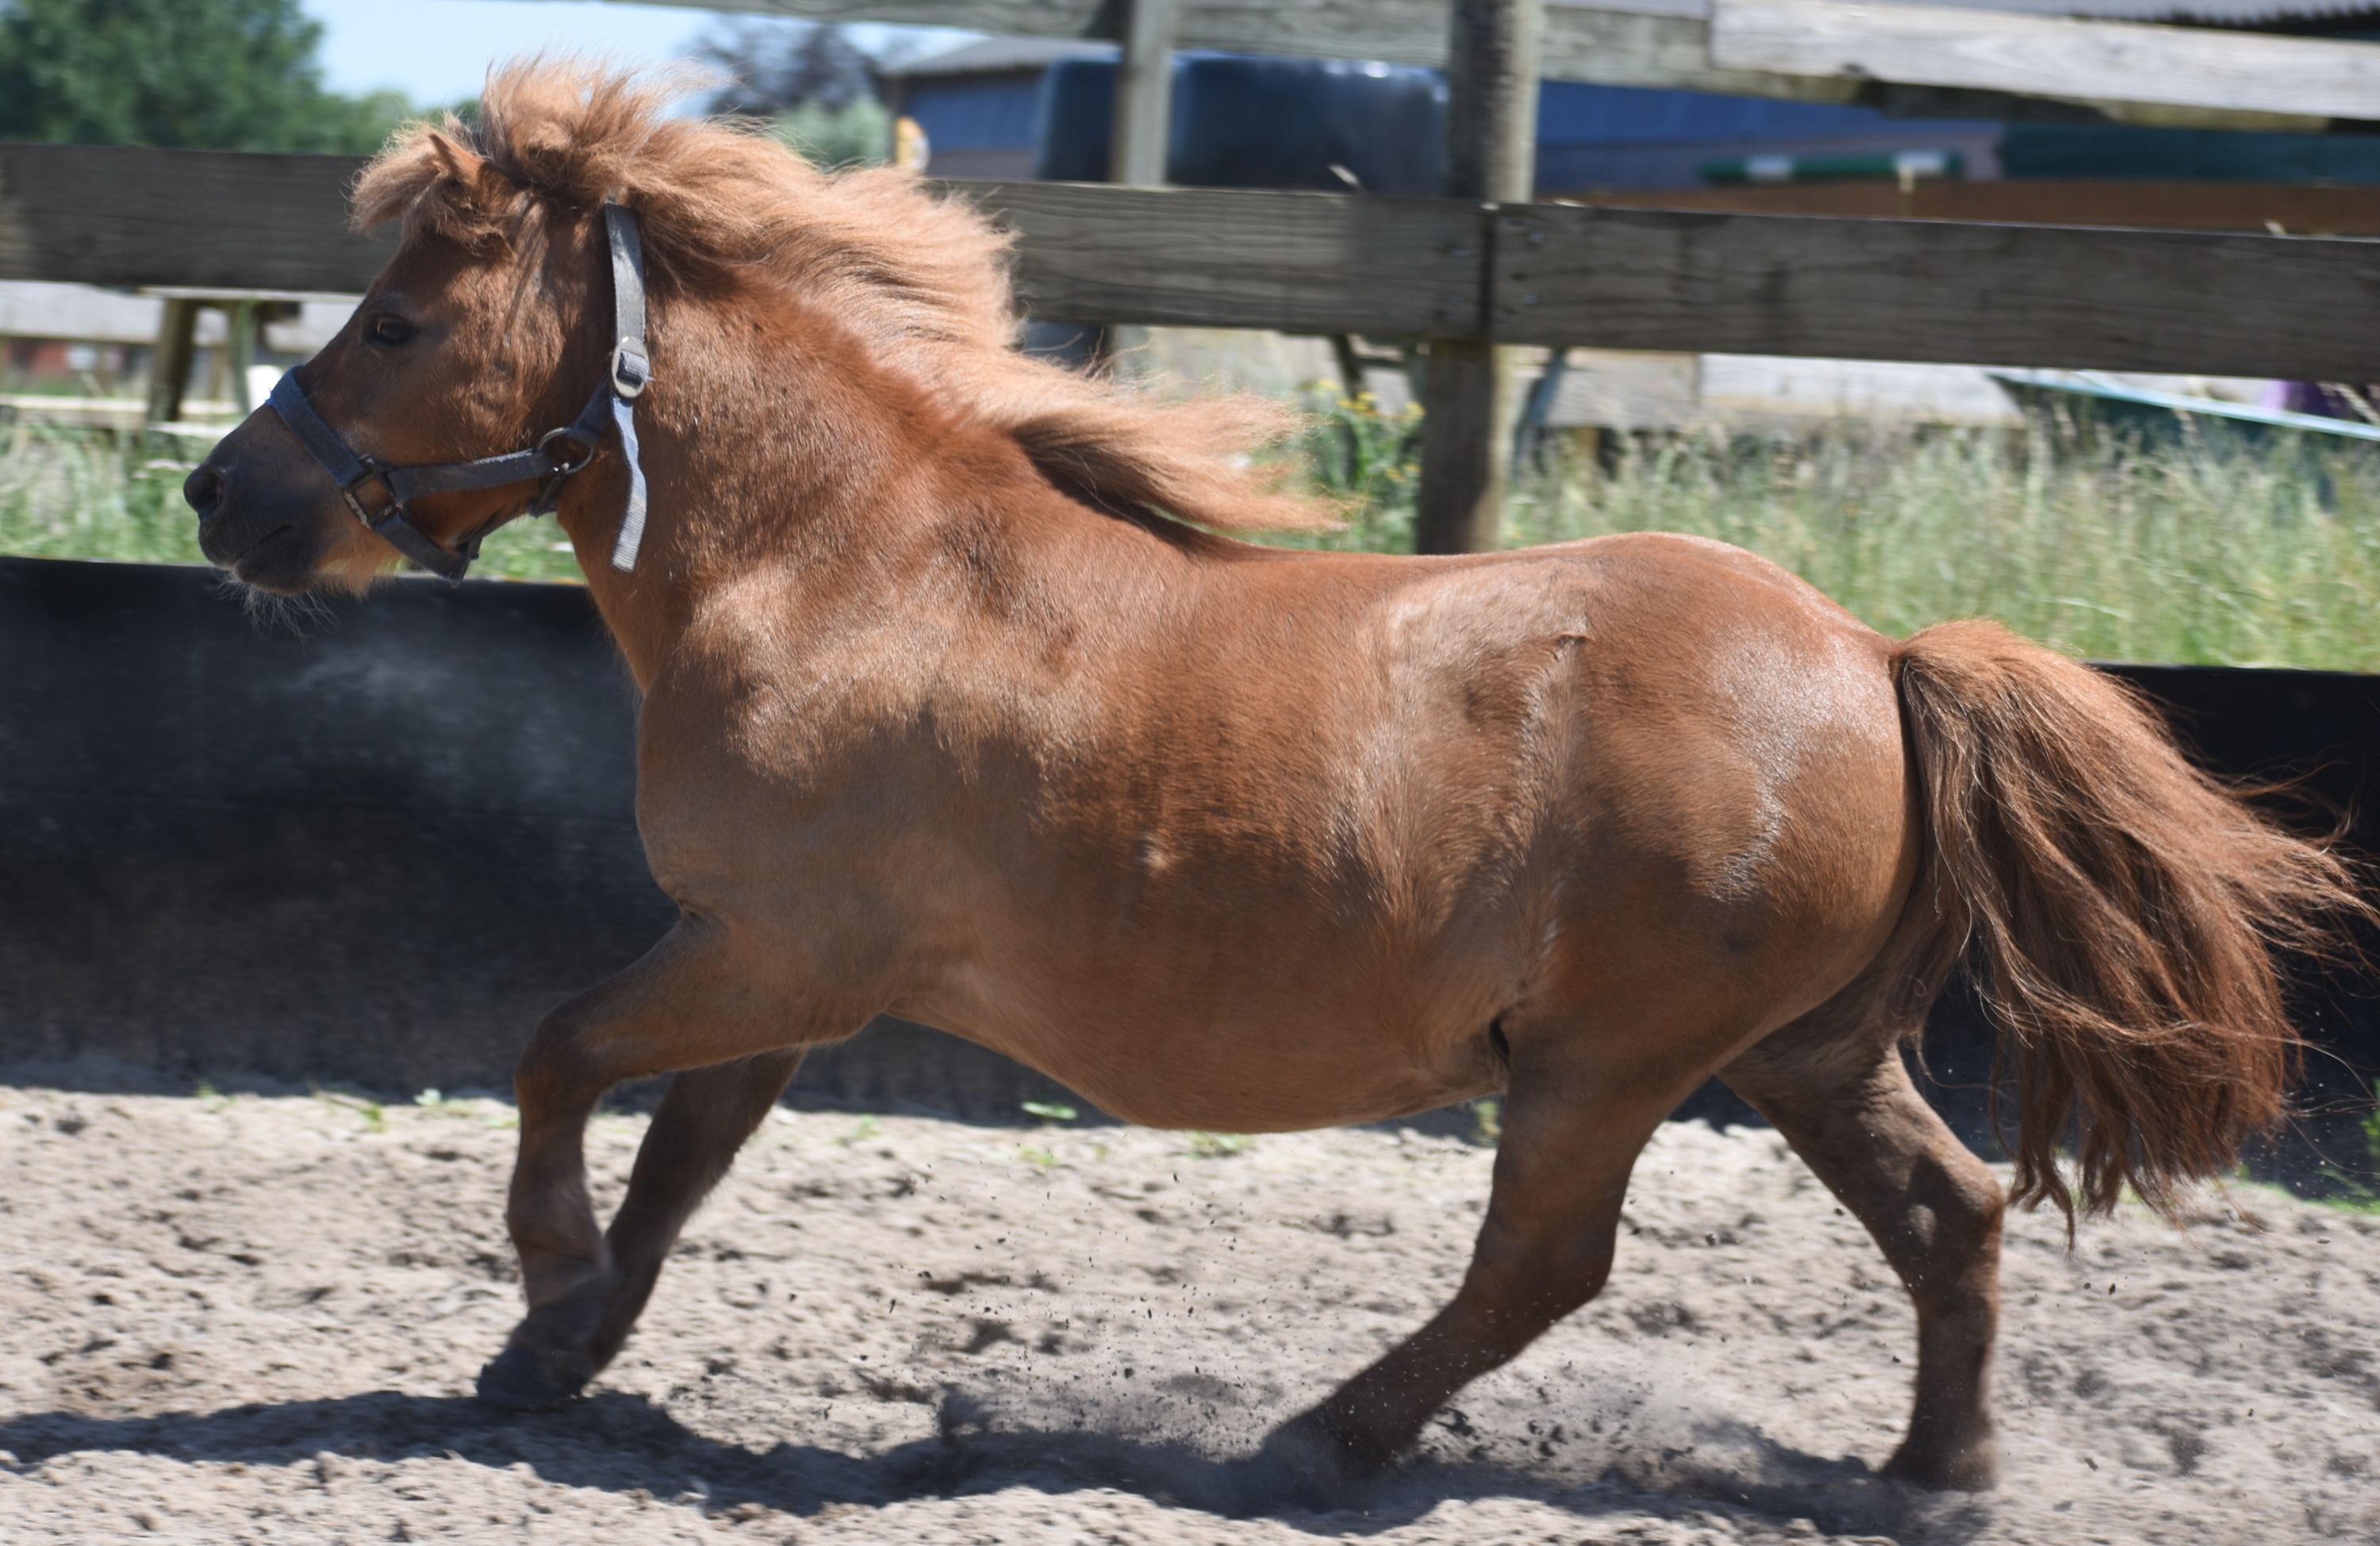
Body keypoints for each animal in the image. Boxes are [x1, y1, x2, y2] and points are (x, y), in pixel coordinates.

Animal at [183, 61, 2366, 1499]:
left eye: (398, 318)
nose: (222, 496)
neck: (842, 565)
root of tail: (1876, 656)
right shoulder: (767, 973)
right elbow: (672, 1169)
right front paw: (551, 1348)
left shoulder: (776, 950)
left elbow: (556, 1054)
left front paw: (543, 1287)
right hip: (1805, 1048)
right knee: (1952, 1209)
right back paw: (1934, 1472)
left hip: (1614, 1057)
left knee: (1549, 1260)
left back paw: (1322, 1433)